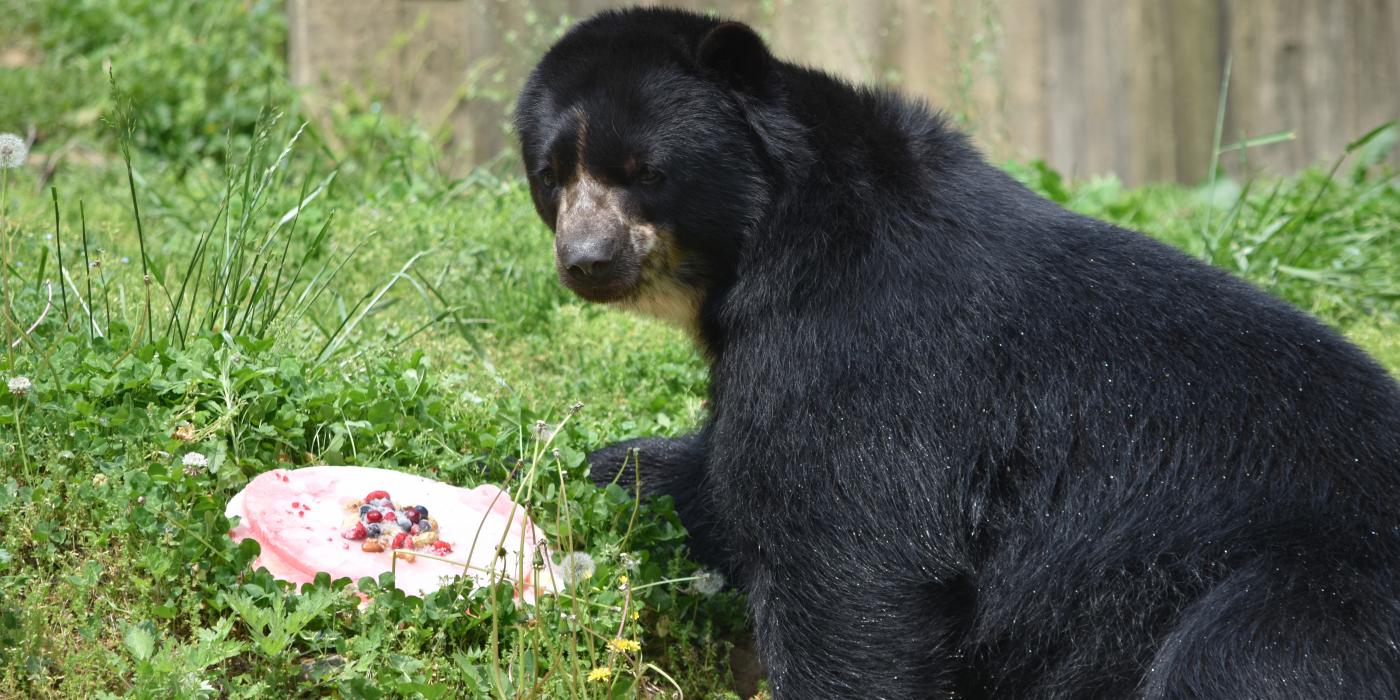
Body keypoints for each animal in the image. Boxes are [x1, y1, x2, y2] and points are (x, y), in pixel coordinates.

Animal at [515, 6, 1400, 700]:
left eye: (644, 172)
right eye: (552, 174)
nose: (587, 260)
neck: (772, 239)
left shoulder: (859, 353)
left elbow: (848, 568)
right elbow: (719, 483)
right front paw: (594, 471)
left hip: (1308, 597)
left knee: (1235, 662)